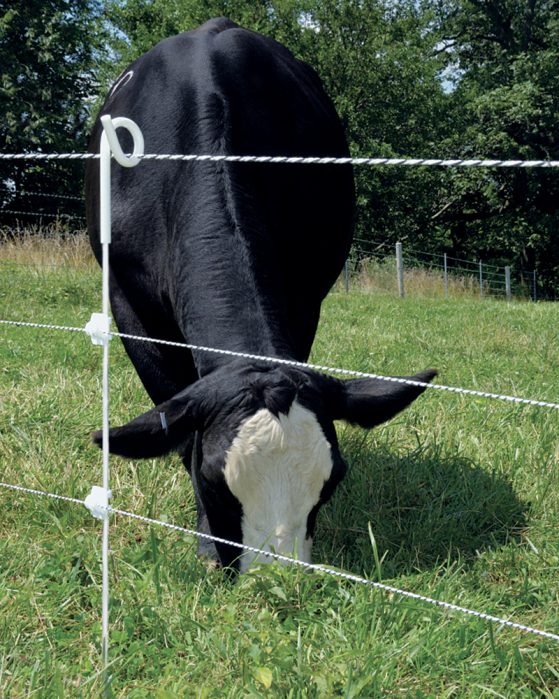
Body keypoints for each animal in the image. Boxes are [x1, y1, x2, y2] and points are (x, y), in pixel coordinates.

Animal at [86, 17, 438, 576]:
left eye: (333, 479)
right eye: (213, 480)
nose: (278, 581)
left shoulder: (305, 294)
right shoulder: (127, 298)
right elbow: (173, 411)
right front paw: (208, 545)